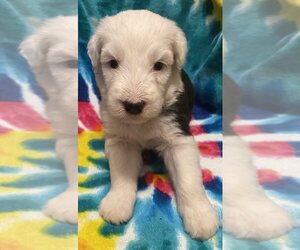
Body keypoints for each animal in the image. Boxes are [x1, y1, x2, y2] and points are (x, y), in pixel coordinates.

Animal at [88, 10, 219, 240]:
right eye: (112, 63)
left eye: (158, 65)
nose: (133, 105)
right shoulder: (120, 140)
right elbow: (121, 173)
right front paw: (117, 203)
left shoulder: (178, 138)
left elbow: (189, 180)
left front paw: (200, 216)